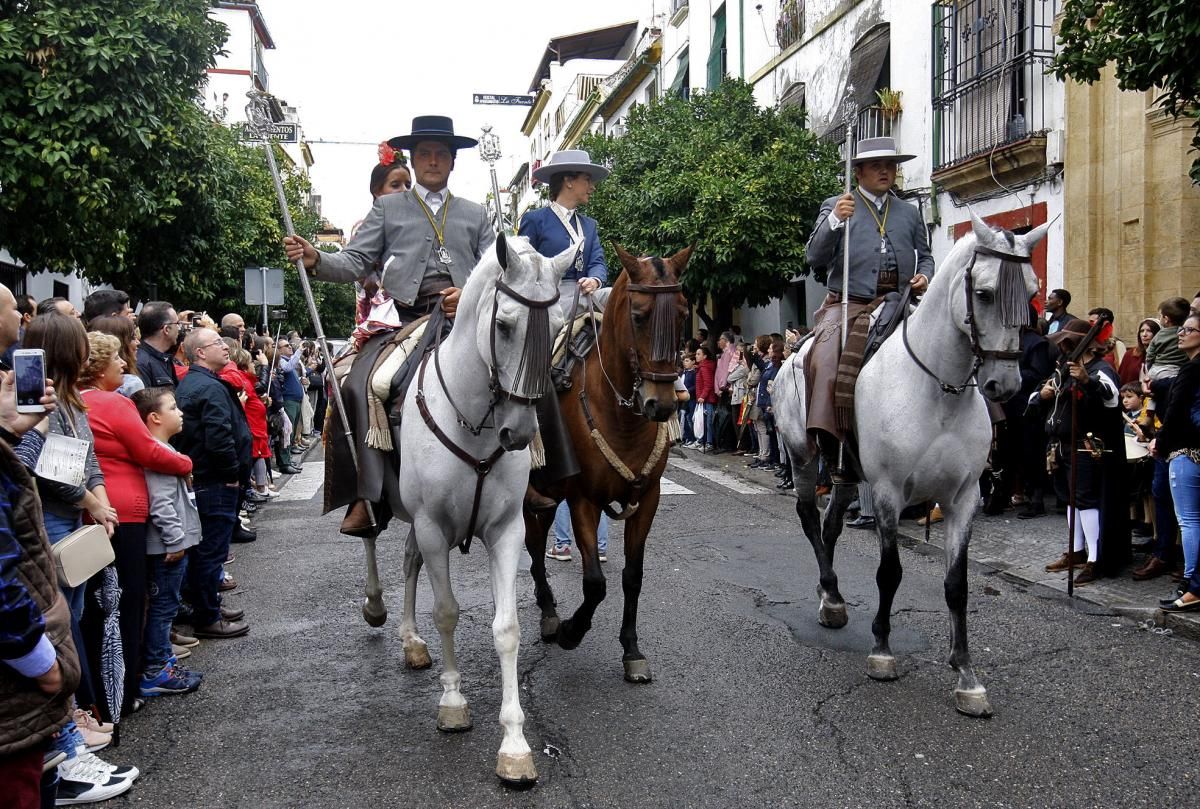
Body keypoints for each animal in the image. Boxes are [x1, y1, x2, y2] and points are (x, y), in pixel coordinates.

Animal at [360, 231, 571, 782]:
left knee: (408, 560)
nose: (519, 433)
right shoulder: (435, 528)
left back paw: (411, 641)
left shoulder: (506, 530)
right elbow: (448, 612)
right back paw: (375, 605)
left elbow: (507, 628)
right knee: (370, 539)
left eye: (556, 329)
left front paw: (515, 744)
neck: (476, 421)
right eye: (503, 325)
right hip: (385, 502)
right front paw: (453, 702)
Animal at [528, 241, 696, 681]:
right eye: (638, 316)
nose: (662, 404)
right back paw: (550, 615)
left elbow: (632, 577)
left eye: (683, 313)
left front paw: (632, 650)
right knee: (532, 549)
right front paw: (572, 630)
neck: (622, 416)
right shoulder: (583, 500)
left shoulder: (647, 498)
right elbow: (595, 583)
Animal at [772, 212, 1046, 710]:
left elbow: (956, 584)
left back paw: (831, 596)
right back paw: (831, 593)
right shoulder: (886, 492)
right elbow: (890, 572)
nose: (1005, 384)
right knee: (808, 516)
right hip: (802, 454)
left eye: (1033, 291)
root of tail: (792, 355)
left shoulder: (964, 498)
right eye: (984, 292)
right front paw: (882, 651)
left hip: (844, 469)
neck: (939, 390)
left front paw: (966, 674)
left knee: (831, 523)